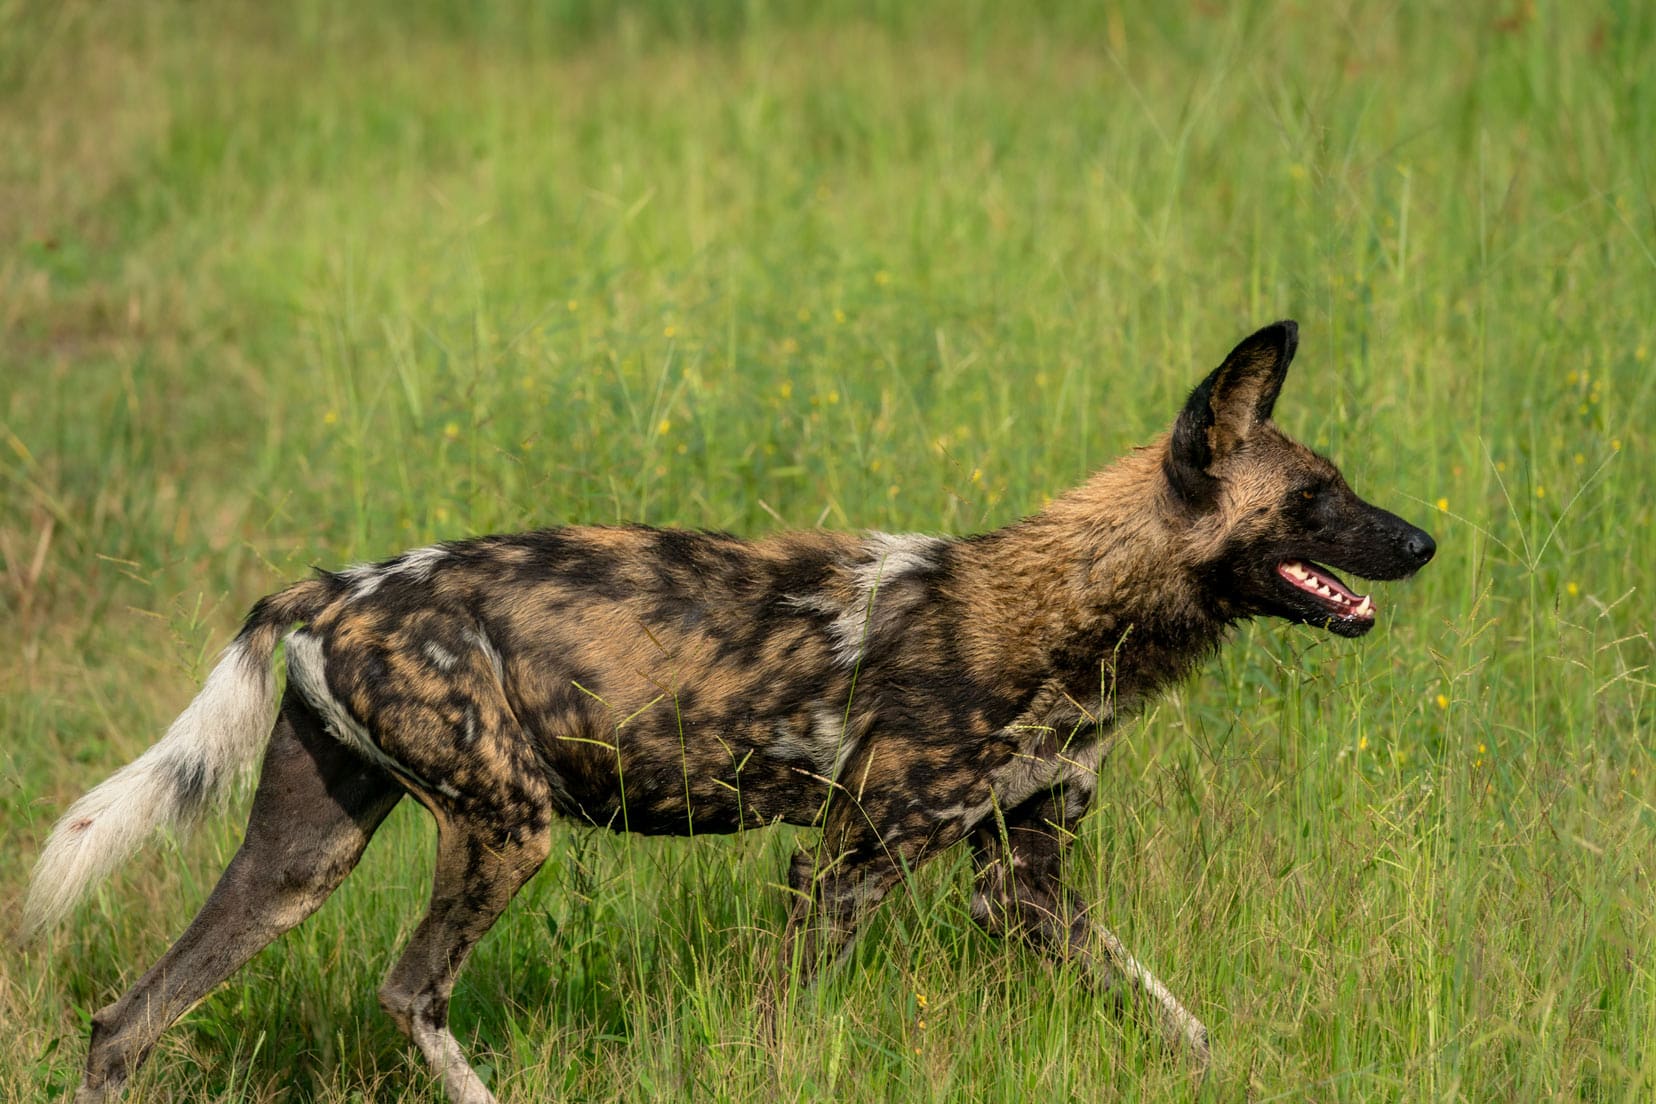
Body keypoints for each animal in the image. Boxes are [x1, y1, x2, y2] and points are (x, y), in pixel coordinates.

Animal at [29, 321, 1437, 1104]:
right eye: (1317, 501)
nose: (1424, 541)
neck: (1070, 618)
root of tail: (336, 584)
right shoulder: (847, 865)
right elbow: (778, 1027)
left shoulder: (1021, 885)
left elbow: (1180, 1022)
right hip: (508, 828)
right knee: (408, 989)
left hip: (298, 859)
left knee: (125, 1023)